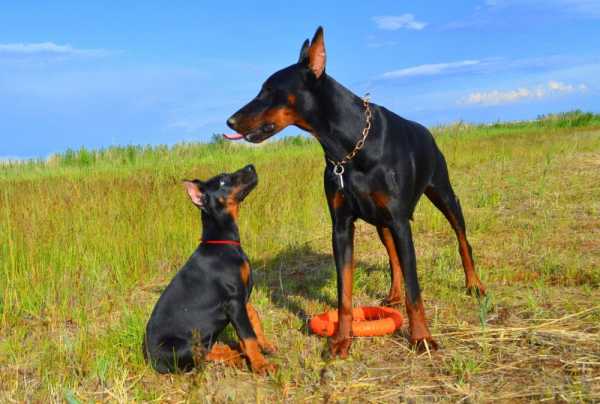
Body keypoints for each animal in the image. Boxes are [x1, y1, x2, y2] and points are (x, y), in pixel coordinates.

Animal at [143, 165, 276, 376]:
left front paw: (265, 344)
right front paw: (260, 364)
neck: (223, 242)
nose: (251, 166)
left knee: (207, 349)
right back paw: (234, 356)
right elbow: (247, 336)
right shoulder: (233, 301)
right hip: (182, 346)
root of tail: (150, 360)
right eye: (222, 180)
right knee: (200, 356)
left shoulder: (241, 296)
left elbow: (254, 317)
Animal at [226, 27, 488, 356]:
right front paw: (341, 340)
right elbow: (345, 291)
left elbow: (416, 289)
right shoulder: (341, 226)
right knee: (394, 259)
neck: (348, 149)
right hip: (382, 223)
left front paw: (421, 337)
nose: (230, 121)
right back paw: (393, 295)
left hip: (443, 195)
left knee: (462, 241)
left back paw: (474, 285)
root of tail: (427, 132)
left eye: (270, 90)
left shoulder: (400, 222)